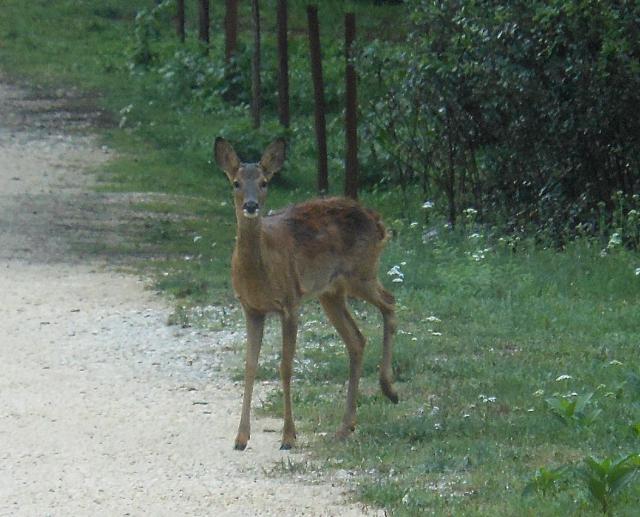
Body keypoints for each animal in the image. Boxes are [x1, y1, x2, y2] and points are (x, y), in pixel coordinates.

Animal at [212, 136, 398, 448]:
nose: (251, 205)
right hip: (331, 292)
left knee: (390, 302)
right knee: (357, 339)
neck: (261, 270)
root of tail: (378, 221)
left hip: (361, 272)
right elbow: (250, 366)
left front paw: (289, 436)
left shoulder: (290, 302)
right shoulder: (251, 308)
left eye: (264, 182)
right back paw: (346, 426)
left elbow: (285, 366)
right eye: (236, 182)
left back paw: (389, 389)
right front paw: (241, 437)